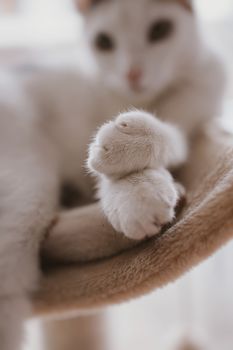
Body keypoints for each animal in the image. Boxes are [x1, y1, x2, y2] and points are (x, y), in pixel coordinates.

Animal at [0, 0, 225, 350]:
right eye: (104, 42)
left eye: (160, 30)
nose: (133, 73)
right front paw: (138, 189)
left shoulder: (195, 105)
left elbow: (172, 136)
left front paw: (136, 179)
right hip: (26, 177)